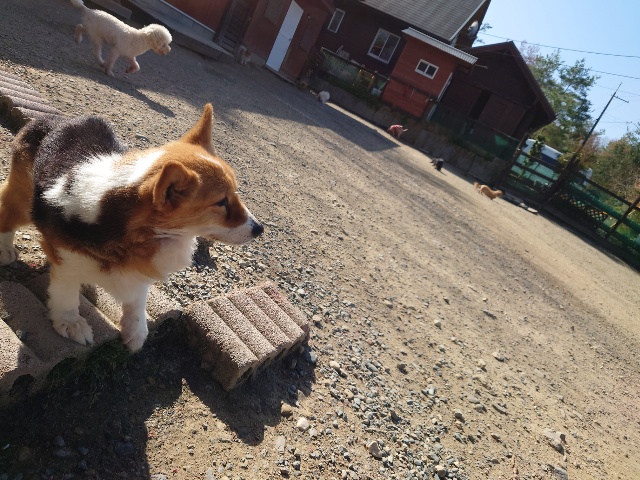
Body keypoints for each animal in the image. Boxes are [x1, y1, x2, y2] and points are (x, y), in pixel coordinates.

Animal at [0, 104, 263, 352]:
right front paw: (71, 323)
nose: (259, 229)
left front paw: (136, 331)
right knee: (7, 213)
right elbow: (66, 294)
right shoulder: (65, 258)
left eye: (235, 193)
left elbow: (137, 299)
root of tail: (53, 120)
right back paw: (5, 250)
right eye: (221, 202)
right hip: (23, 201)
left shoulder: (143, 268)